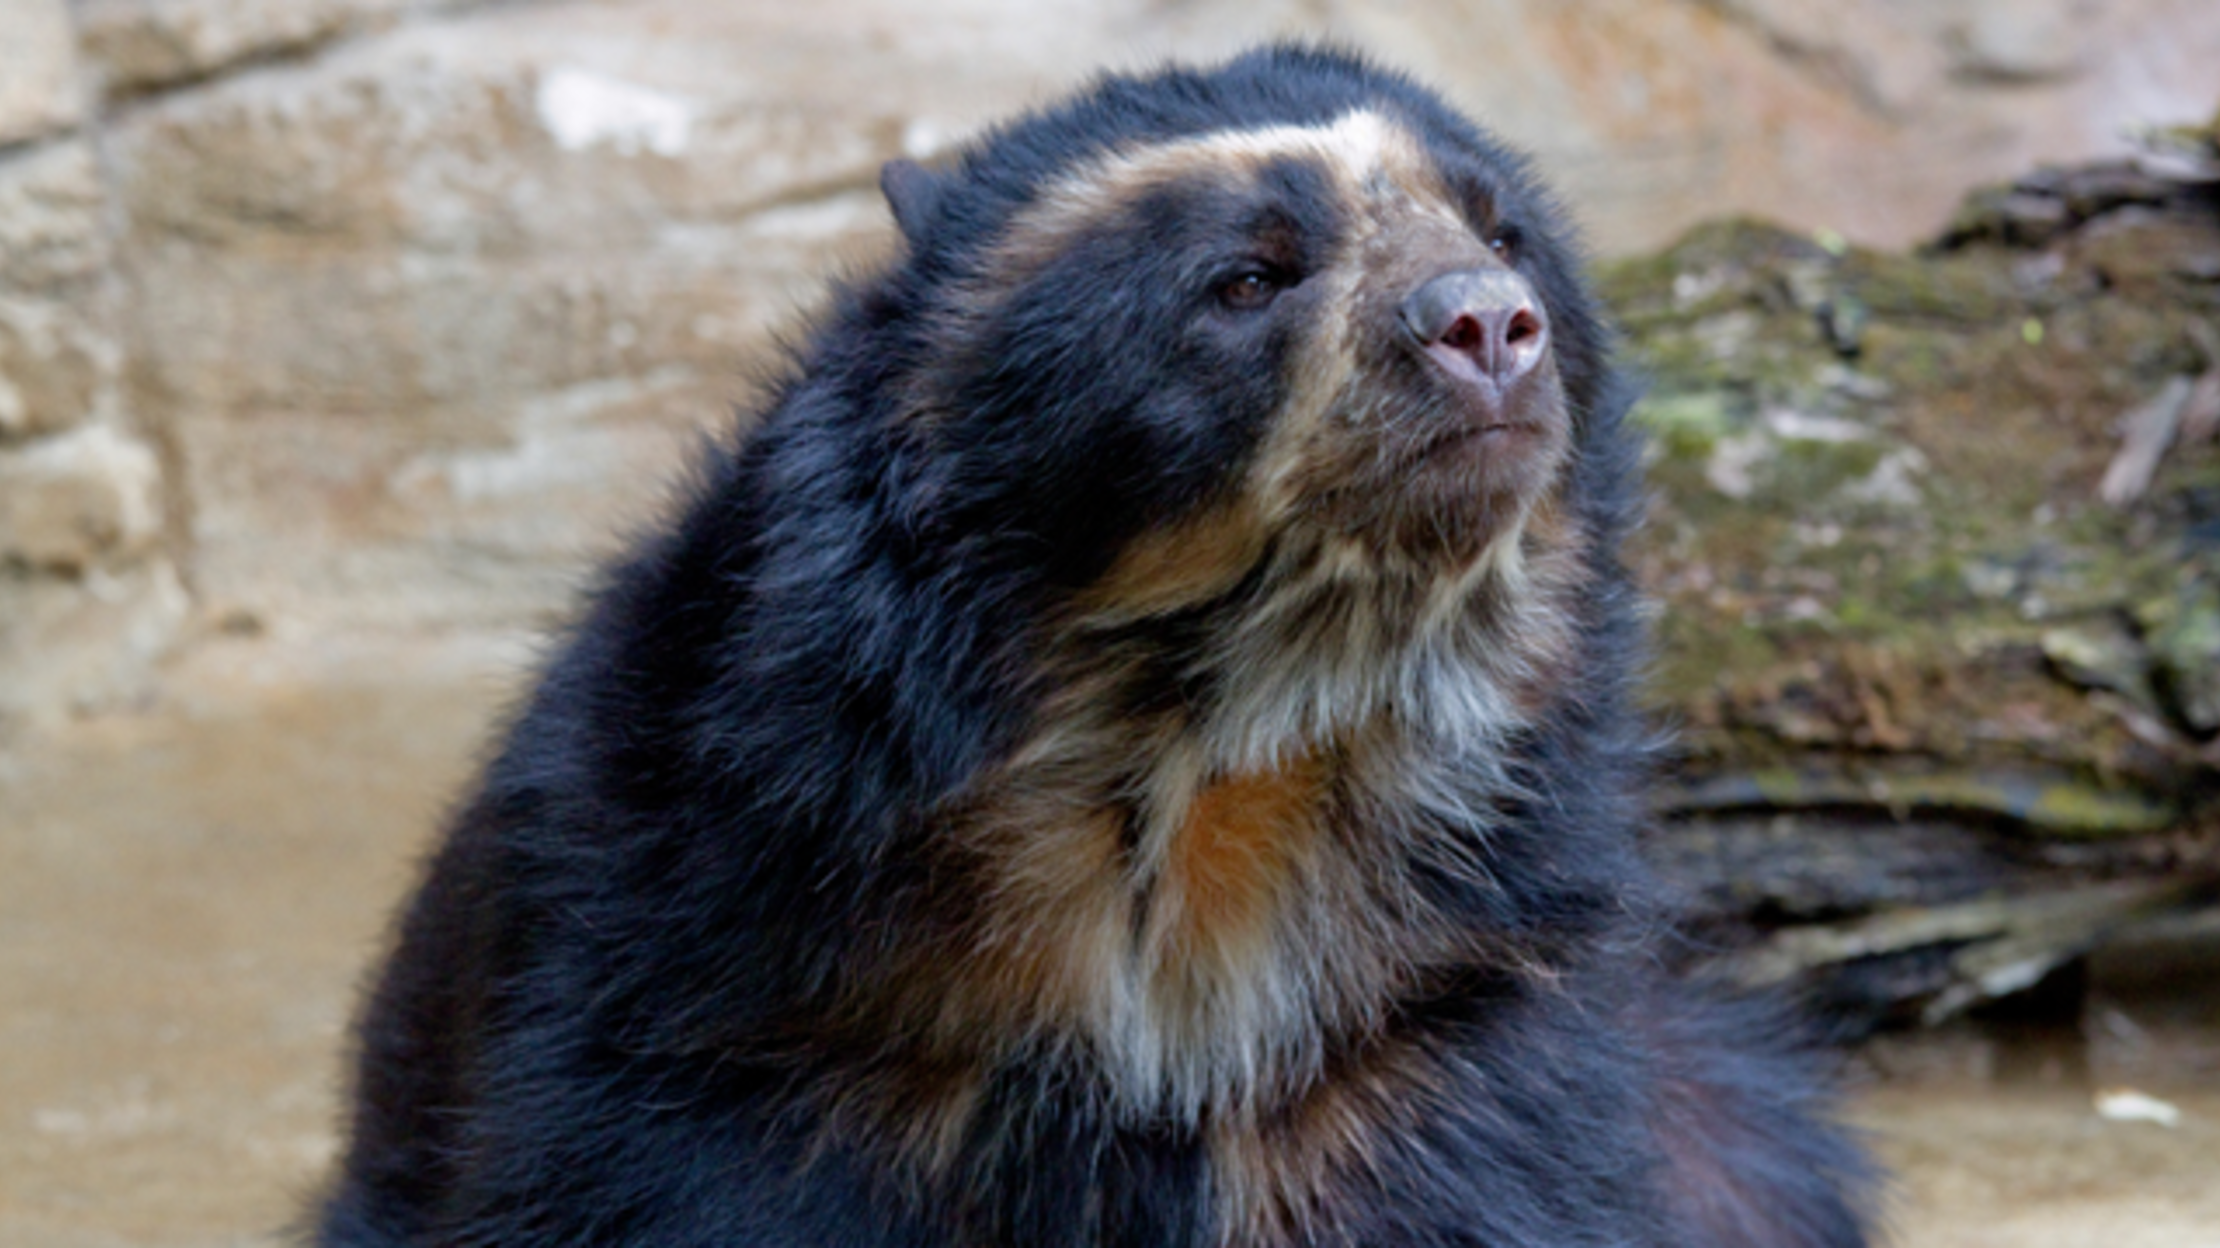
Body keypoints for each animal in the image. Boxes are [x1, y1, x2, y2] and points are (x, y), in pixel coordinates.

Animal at [313, 43, 1873, 1243]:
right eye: (1245, 279)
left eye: (1503, 234)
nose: (1489, 325)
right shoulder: (727, 981)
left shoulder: (1430, 1007)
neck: (1214, 750)